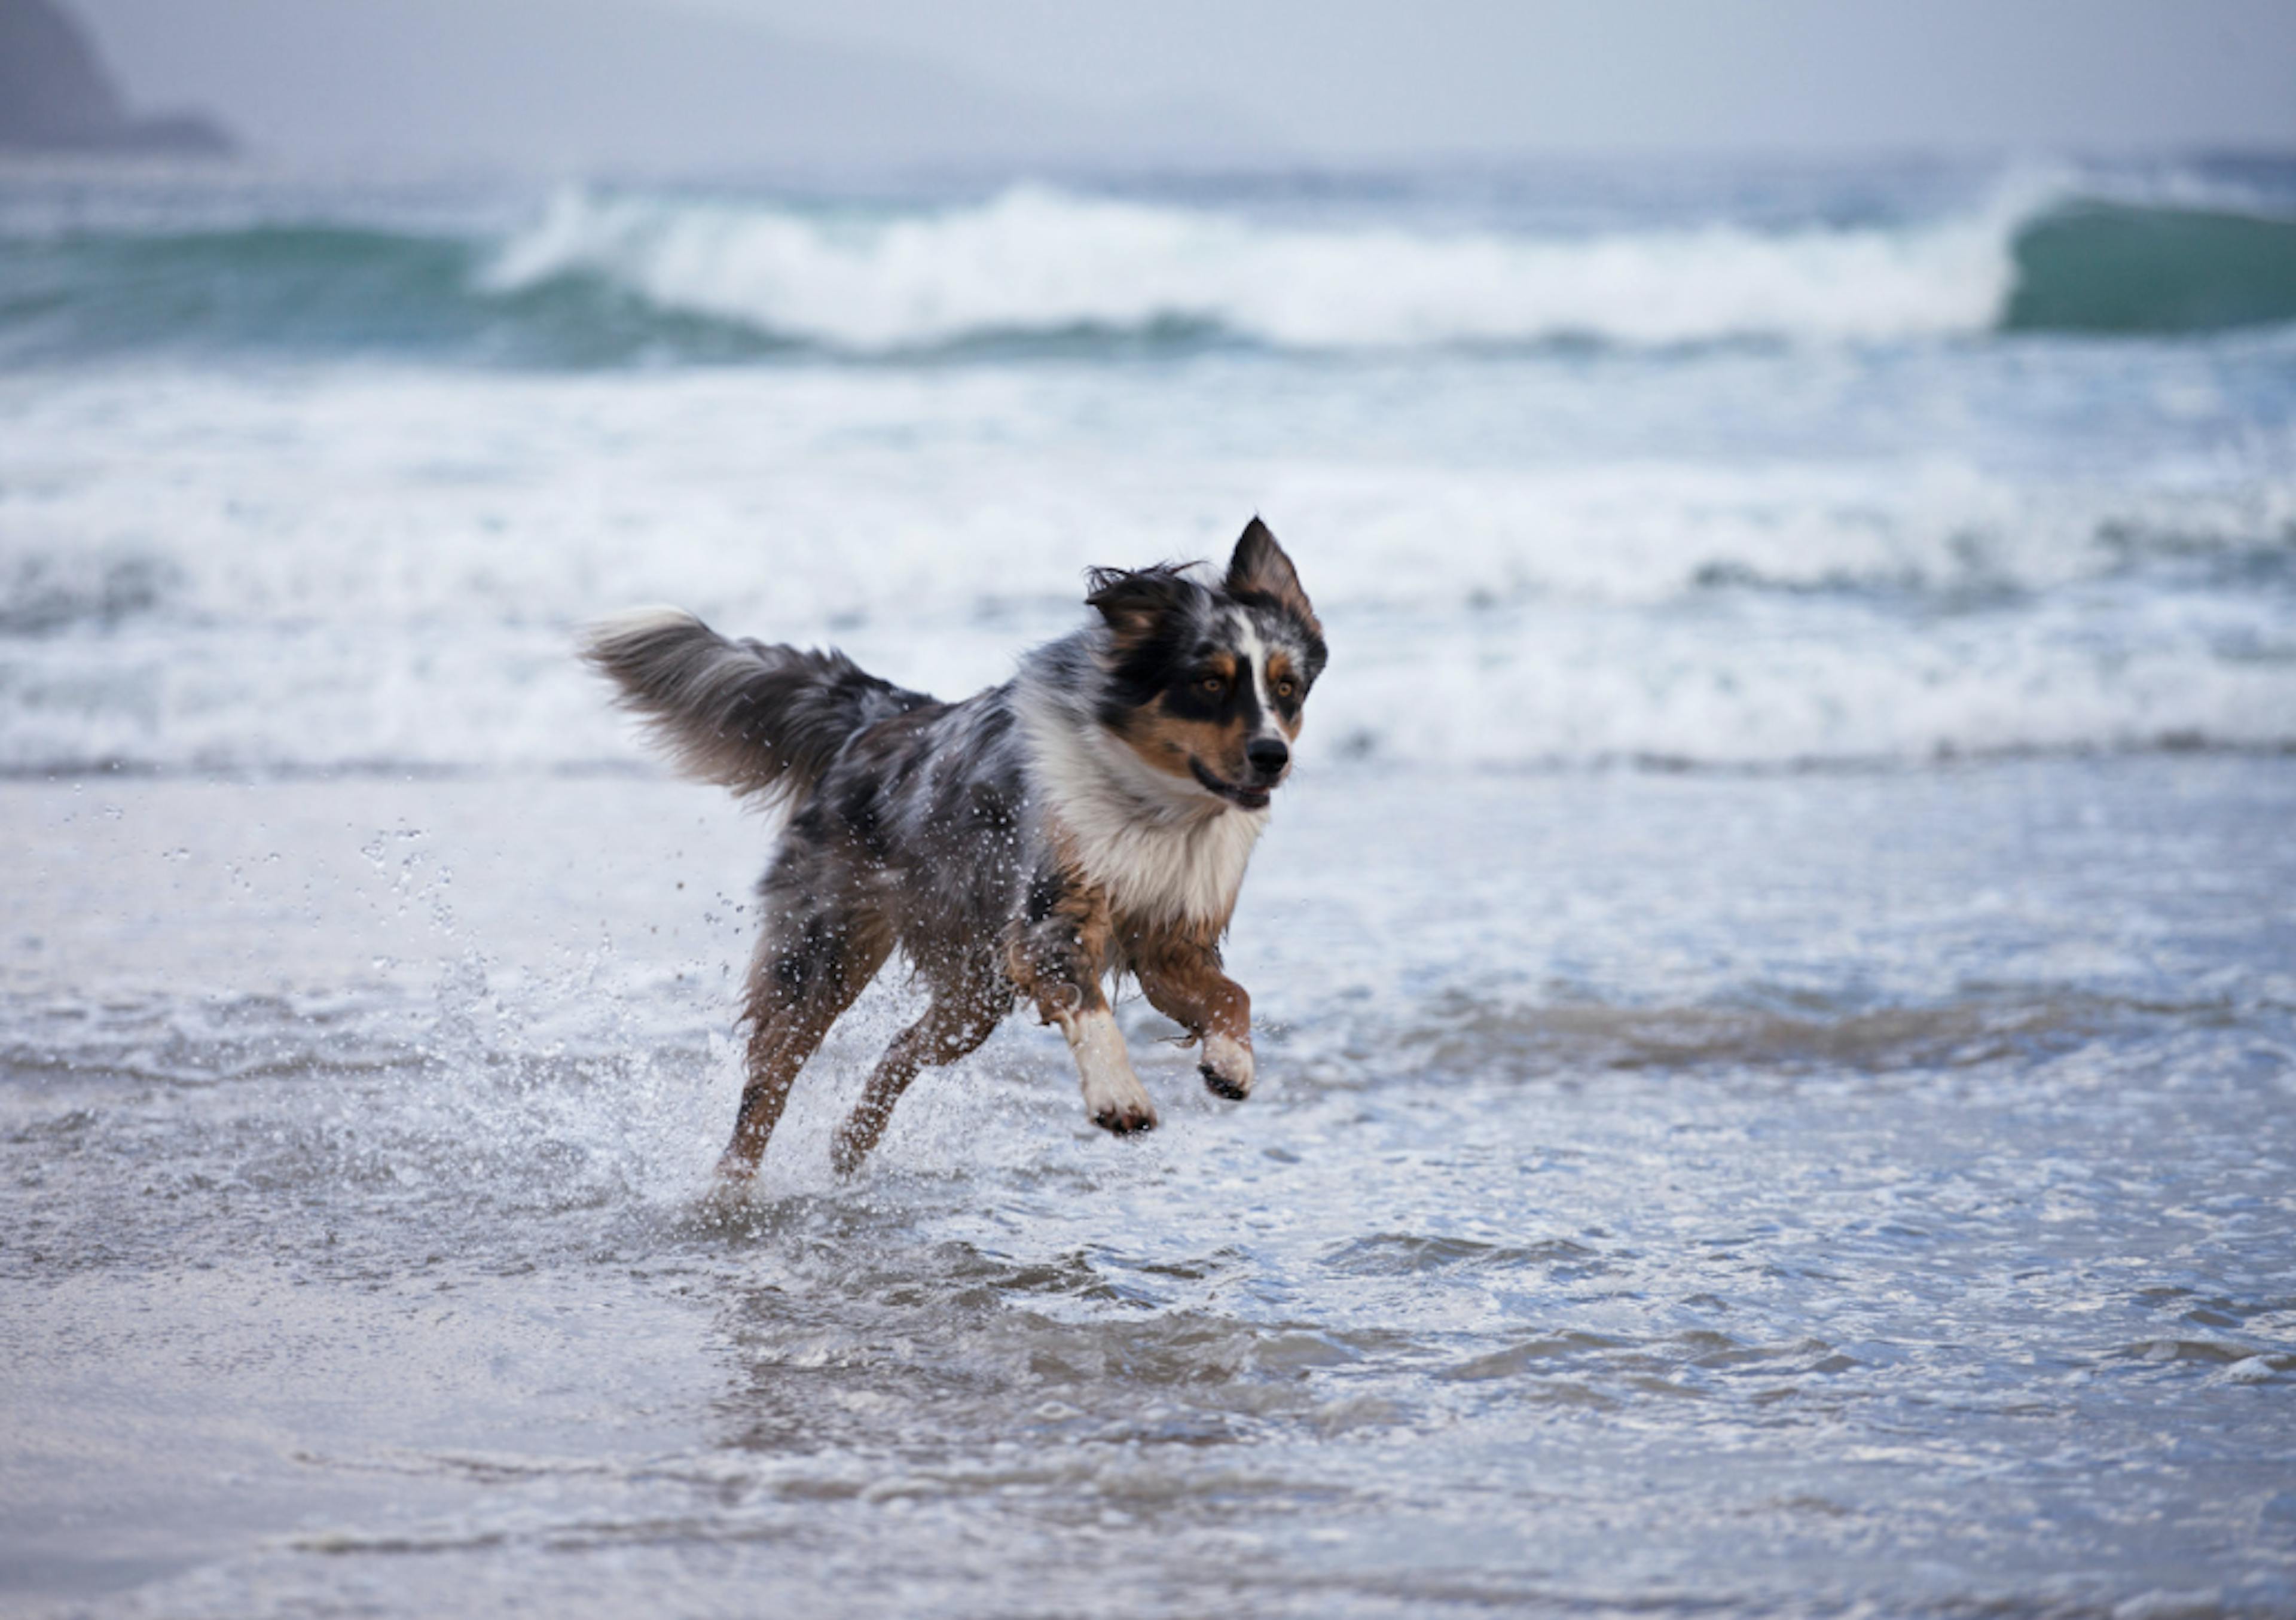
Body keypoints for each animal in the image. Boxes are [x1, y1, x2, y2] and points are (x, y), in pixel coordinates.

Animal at [578, 519, 1332, 1176]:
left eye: (1287, 688)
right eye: (1210, 683)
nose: (1273, 757)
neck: (1156, 805)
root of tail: (882, 718)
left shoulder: (1172, 936)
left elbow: (1233, 995)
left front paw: (1231, 1061)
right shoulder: (1050, 920)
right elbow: (1091, 1009)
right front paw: (1119, 1094)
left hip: (975, 991)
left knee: (902, 1047)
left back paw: (851, 1144)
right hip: (825, 950)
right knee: (768, 1083)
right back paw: (730, 1192)